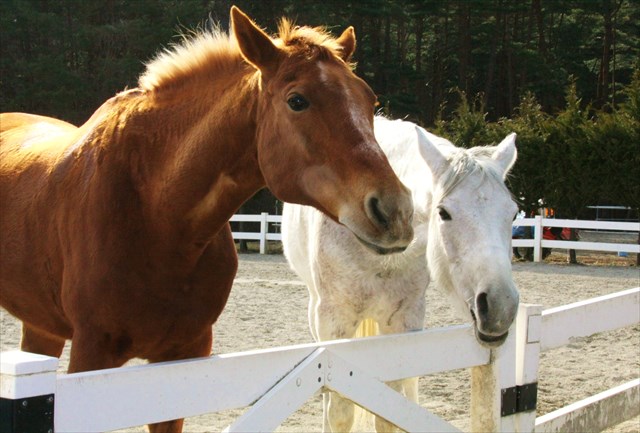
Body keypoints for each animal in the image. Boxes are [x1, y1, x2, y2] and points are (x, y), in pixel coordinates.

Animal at [0, 8, 414, 433]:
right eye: (297, 100)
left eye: (369, 99)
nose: (395, 209)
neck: (155, 216)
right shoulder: (91, 357)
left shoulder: (184, 356)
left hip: (41, 327)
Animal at [282, 116, 520, 432]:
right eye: (443, 213)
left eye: (513, 213)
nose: (499, 306)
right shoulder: (334, 323)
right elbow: (339, 412)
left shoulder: (403, 325)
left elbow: (389, 413)